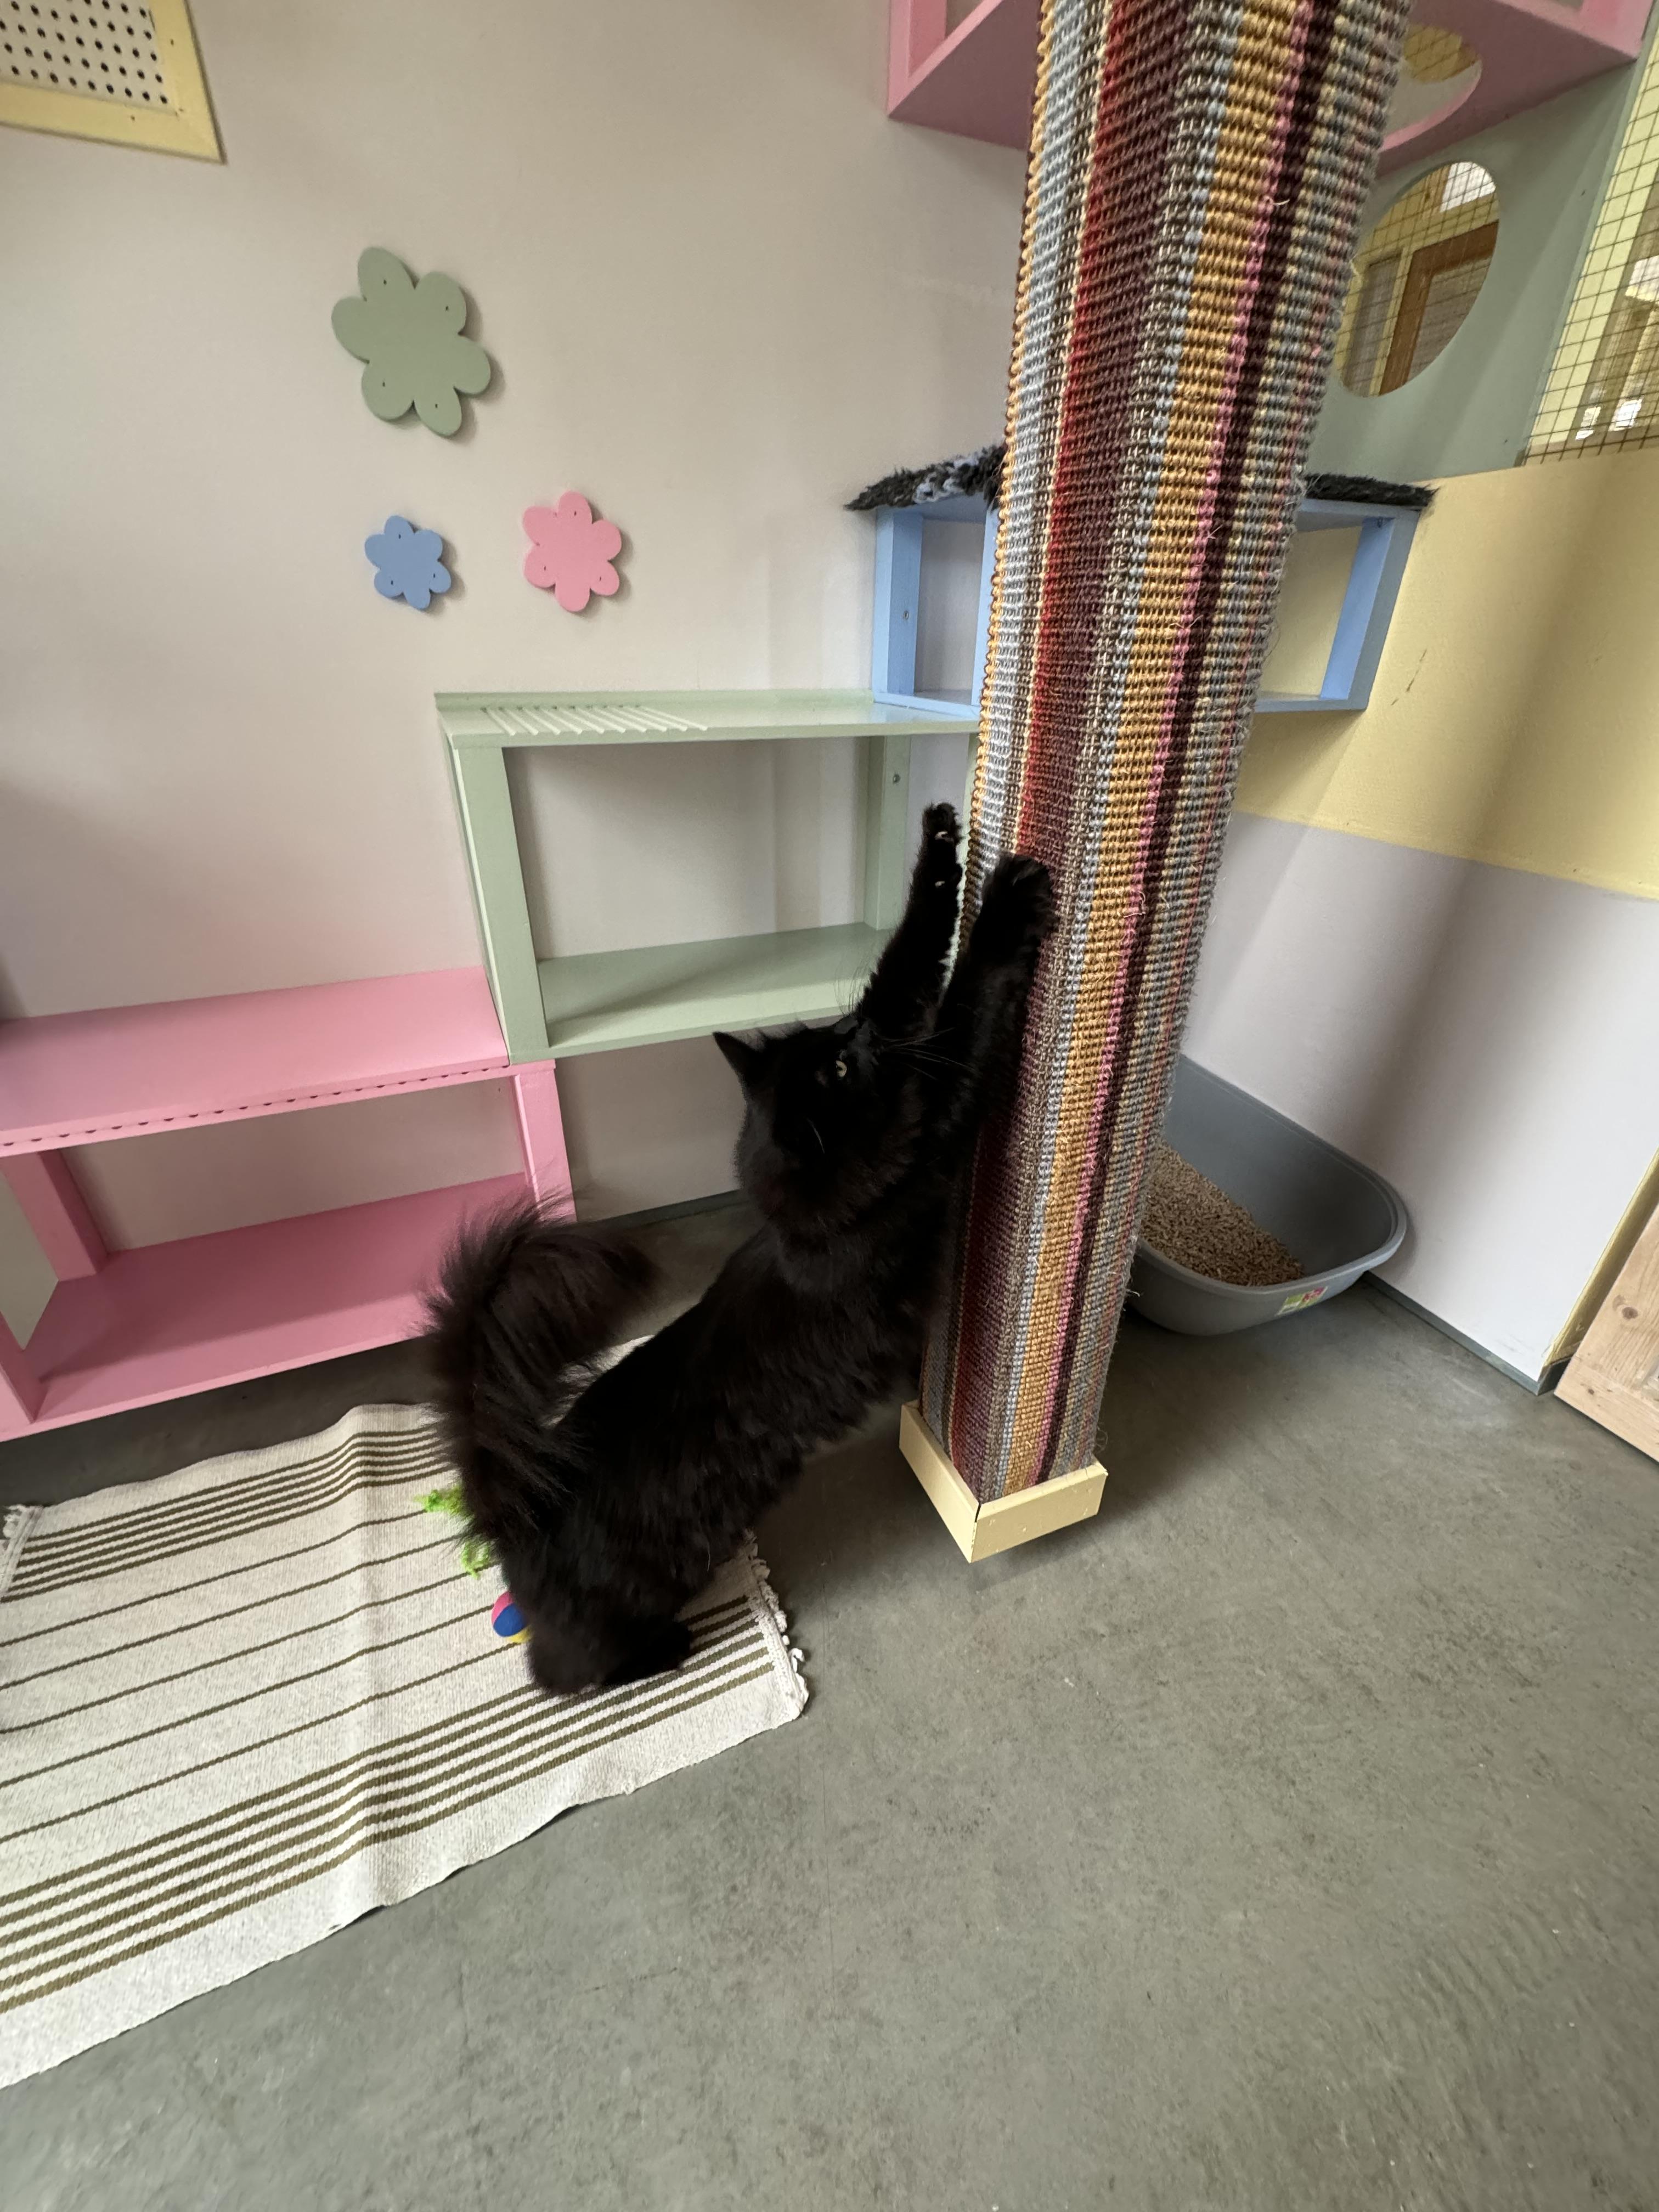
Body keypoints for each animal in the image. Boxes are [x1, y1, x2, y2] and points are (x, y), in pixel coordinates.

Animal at [424, 804, 1054, 1694]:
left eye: (830, 1038)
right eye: (838, 1066)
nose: (859, 1033)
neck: (805, 1224)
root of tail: (521, 1516)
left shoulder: (909, 1052)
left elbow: (907, 964)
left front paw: (939, 846)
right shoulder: (932, 1126)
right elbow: (969, 1004)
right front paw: (1008, 896)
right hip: (620, 1614)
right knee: (560, 1674)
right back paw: (664, 1653)